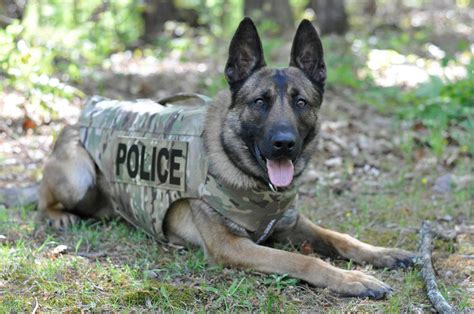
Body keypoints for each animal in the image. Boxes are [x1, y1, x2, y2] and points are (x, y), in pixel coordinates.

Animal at [38, 17, 414, 300]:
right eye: (259, 102)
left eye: (301, 102)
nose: (284, 144)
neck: (251, 178)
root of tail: (77, 116)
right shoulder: (232, 246)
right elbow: (302, 261)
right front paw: (353, 280)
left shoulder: (292, 224)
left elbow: (340, 237)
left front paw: (382, 254)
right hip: (78, 177)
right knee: (44, 197)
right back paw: (59, 215)